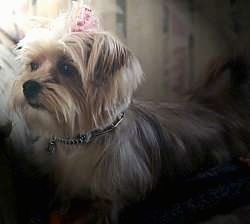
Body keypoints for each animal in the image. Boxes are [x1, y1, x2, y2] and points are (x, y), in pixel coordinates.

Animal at [9, 20, 250, 223]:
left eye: (66, 67)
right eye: (33, 66)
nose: (28, 85)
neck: (80, 139)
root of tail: (216, 105)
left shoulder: (116, 186)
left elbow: (106, 204)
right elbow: (64, 196)